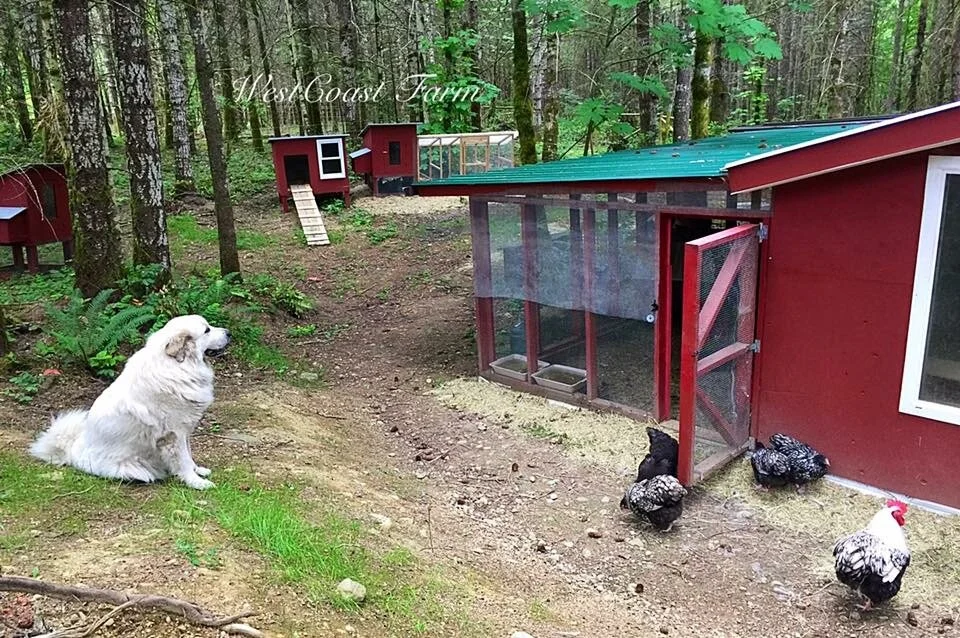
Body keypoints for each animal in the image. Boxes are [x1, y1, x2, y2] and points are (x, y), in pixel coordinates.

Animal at [29, 314, 230, 490]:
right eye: (207, 330)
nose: (229, 332)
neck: (177, 366)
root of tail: (71, 451)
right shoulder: (174, 433)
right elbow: (183, 460)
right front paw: (196, 482)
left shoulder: (185, 429)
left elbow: (189, 454)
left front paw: (199, 471)